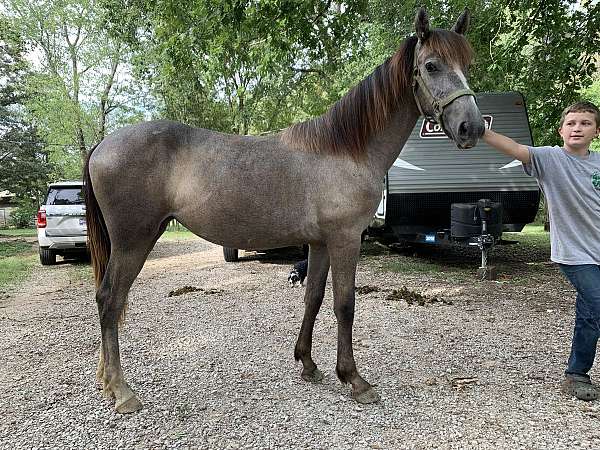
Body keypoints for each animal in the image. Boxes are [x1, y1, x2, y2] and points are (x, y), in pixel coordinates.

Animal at [84, 7, 486, 414]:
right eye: (431, 66)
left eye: (468, 64)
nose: (472, 127)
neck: (346, 151)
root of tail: (102, 145)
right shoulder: (345, 239)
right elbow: (345, 305)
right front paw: (354, 380)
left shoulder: (320, 243)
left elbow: (314, 298)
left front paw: (308, 364)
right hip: (134, 241)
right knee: (109, 300)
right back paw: (122, 390)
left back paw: (107, 381)